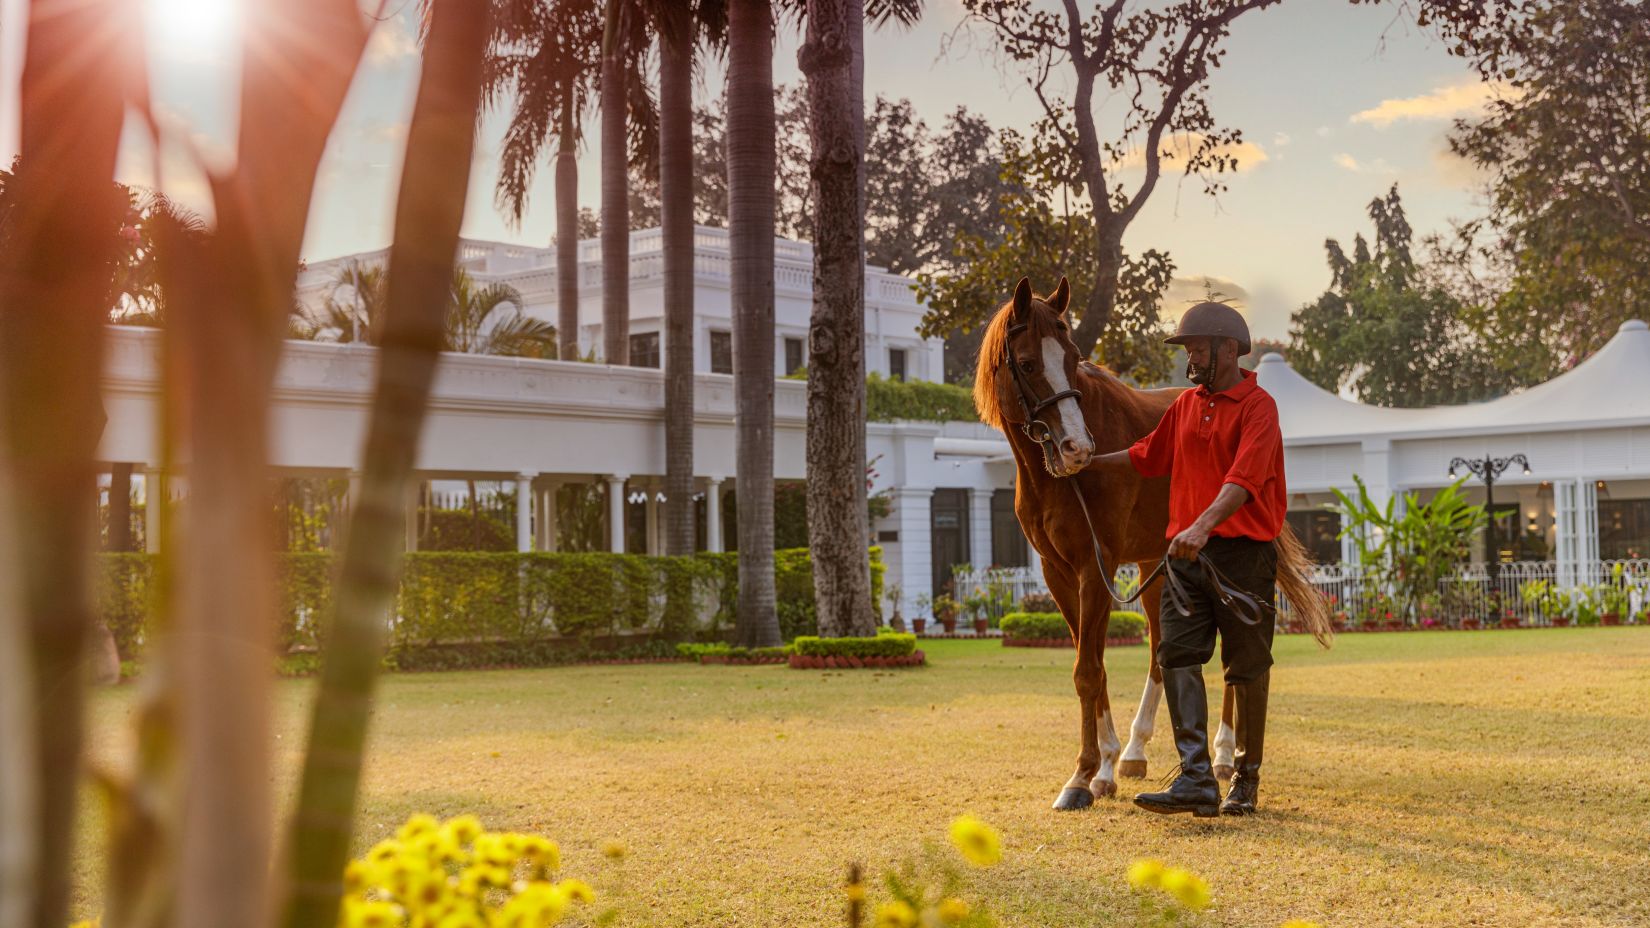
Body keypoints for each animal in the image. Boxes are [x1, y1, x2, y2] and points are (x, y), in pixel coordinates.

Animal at [970, 275, 1234, 809]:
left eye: (1073, 357)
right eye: (1026, 363)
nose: (1077, 448)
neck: (1060, 480)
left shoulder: (1098, 567)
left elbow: (1087, 671)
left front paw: (1082, 775)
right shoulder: (1058, 574)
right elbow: (1092, 664)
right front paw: (1106, 767)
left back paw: (1223, 753)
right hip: (1158, 566)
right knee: (1159, 650)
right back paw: (1135, 751)